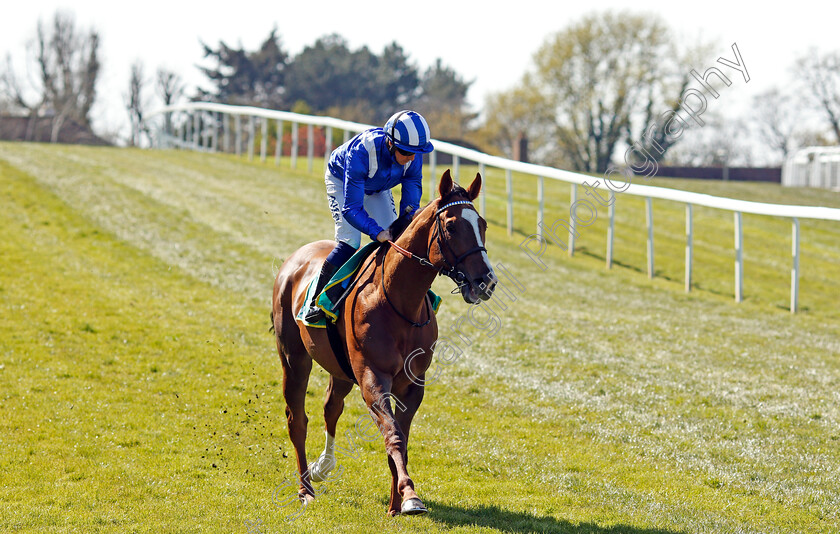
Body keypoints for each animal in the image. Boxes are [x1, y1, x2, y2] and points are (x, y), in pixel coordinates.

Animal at [270, 170, 496, 516]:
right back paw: (305, 489)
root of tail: (294, 259)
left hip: (340, 368)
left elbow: (400, 435)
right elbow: (393, 435)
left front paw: (395, 504)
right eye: (452, 226)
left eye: (482, 224)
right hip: (294, 357)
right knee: (297, 418)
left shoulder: (413, 384)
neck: (399, 302)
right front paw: (410, 495)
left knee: (331, 407)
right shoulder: (372, 377)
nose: (485, 281)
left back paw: (323, 467)